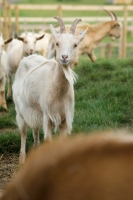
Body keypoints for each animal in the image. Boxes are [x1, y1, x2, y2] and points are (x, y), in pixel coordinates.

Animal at [12, 16, 87, 164]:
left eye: (75, 45)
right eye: (57, 43)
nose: (64, 57)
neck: (58, 91)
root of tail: (28, 56)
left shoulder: (64, 118)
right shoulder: (47, 115)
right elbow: (48, 140)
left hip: (34, 110)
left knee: (35, 129)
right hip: (20, 110)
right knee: (23, 132)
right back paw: (22, 159)